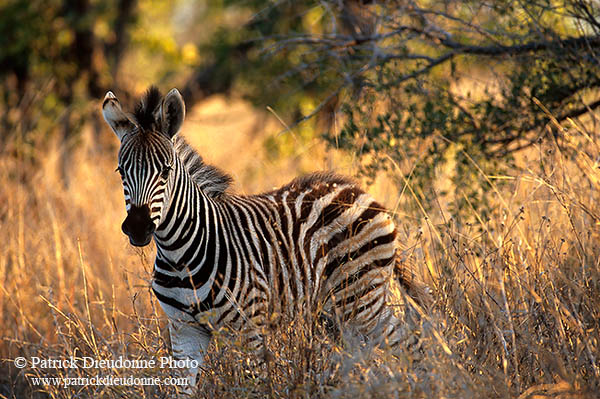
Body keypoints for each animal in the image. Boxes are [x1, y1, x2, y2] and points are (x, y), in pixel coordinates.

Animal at [103, 86, 420, 394]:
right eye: (121, 171)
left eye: (166, 170)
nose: (138, 227)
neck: (180, 256)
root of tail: (358, 191)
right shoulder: (184, 329)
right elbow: (182, 390)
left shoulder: (249, 328)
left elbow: (254, 386)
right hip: (336, 309)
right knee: (357, 356)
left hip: (362, 298)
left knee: (409, 342)